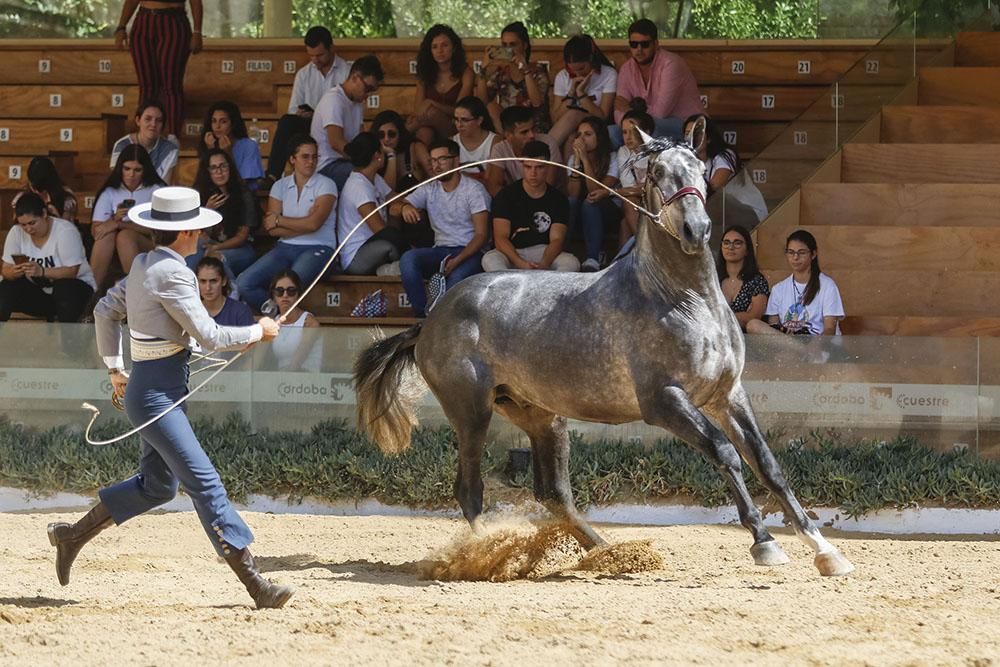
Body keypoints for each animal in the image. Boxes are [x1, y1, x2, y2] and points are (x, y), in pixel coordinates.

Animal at [356, 125, 856, 580]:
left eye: (700, 169)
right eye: (656, 172)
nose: (697, 229)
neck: (684, 300)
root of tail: (431, 318)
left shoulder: (727, 395)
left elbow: (768, 465)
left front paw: (827, 552)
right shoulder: (664, 402)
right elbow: (725, 453)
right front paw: (764, 542)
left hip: (540, 415)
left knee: (554, 493)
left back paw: (611, 553)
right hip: (471, 411)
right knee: (470, 488)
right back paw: (487, 553)